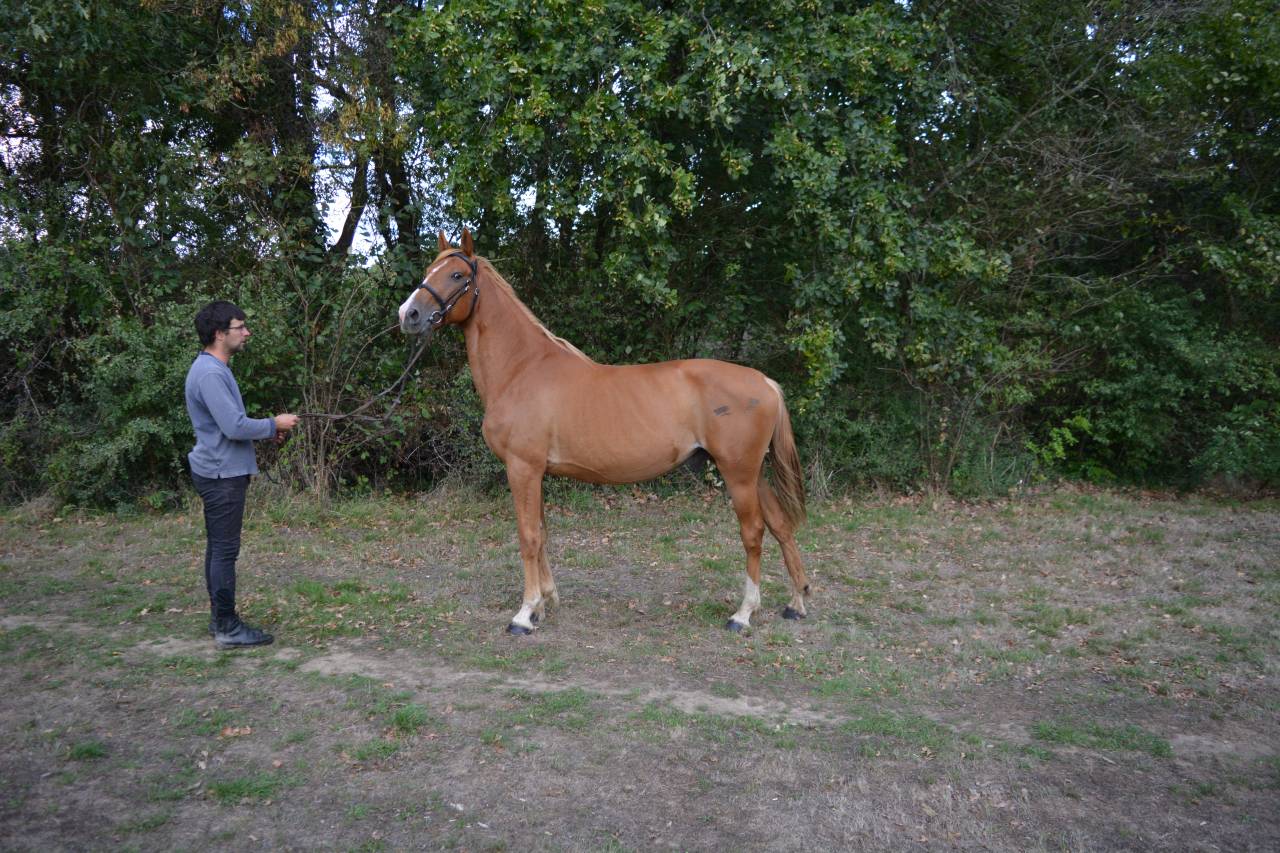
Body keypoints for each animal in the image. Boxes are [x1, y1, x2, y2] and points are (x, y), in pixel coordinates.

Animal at [399, 229, 810, 635]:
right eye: (429, 269)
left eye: (456, 275)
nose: (409, 314)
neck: (522, 368)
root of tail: (764, 381)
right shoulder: (536, 472)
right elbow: (542, 532)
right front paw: (545, 603)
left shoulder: (522, 468)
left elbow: (528, 536)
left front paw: (525, 613)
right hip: (753, 473)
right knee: (780, 525)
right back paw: (796, 603)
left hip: (738, 474)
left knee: (753, 532)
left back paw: (743, 614)